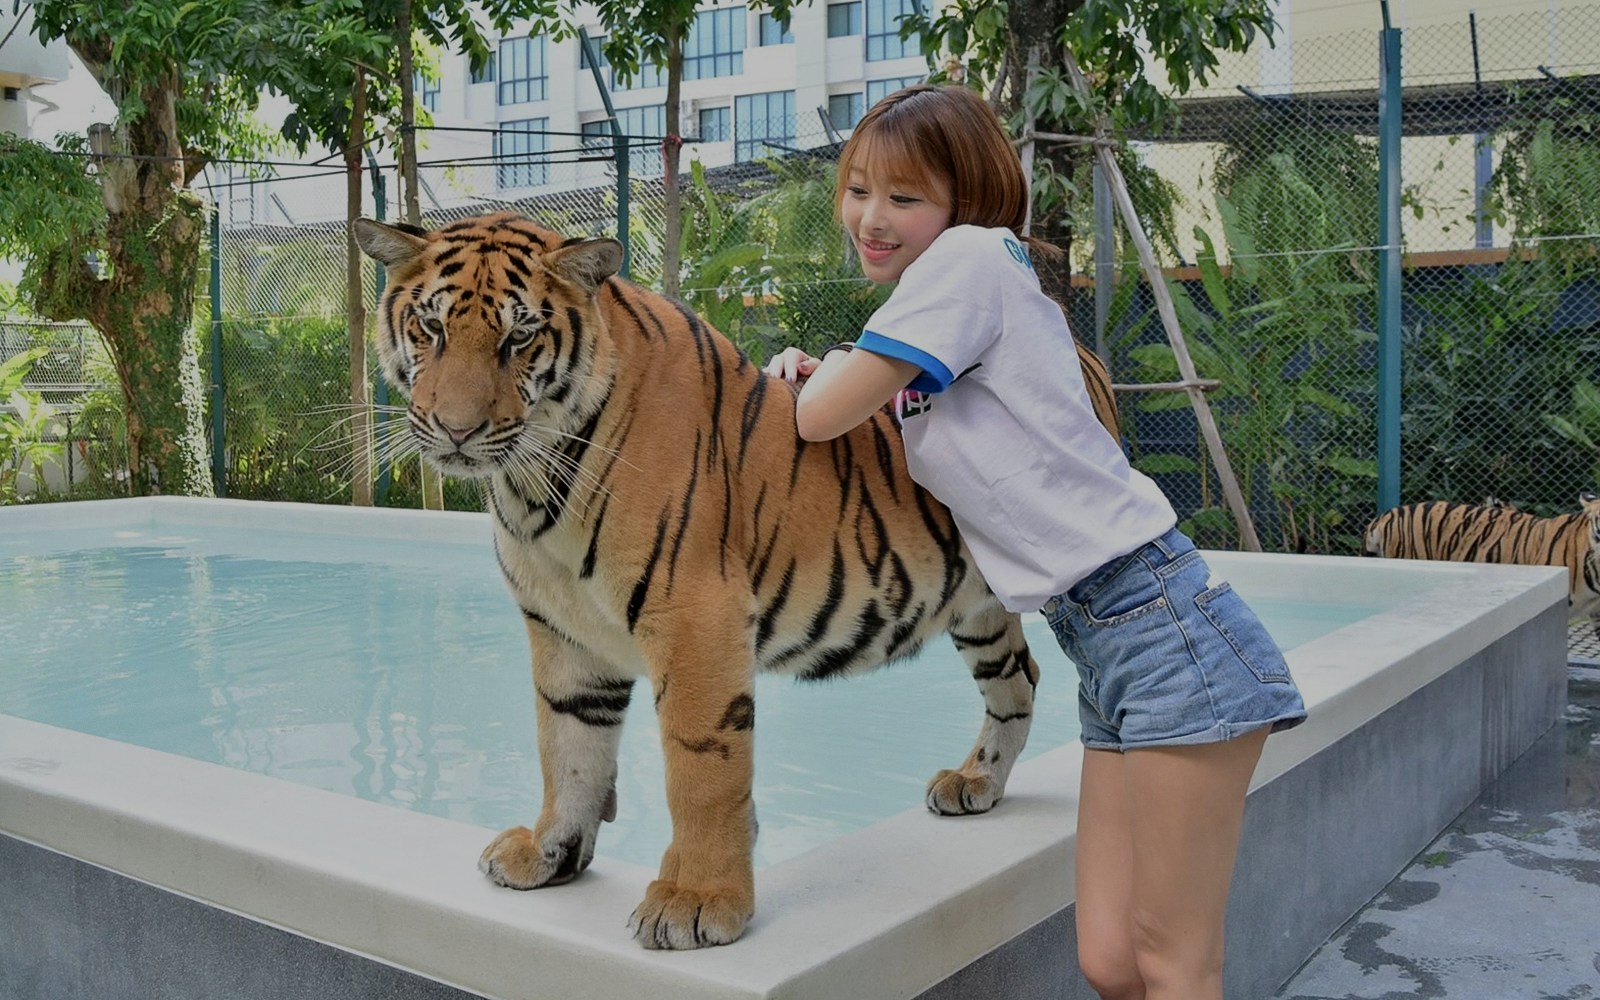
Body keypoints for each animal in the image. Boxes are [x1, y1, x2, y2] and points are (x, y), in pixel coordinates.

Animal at [353, 211, 1121, 950]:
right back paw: (977, 781)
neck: (533, 482)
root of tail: (1082, 352)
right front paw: (549, 855)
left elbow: (700, 768)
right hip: (977, 606)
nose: (455, 431)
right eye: (430, 328)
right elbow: (567, 748)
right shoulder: (563, 630)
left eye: (520, 337)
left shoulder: (695, 615)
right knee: (1018, 678)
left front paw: (696, 902)